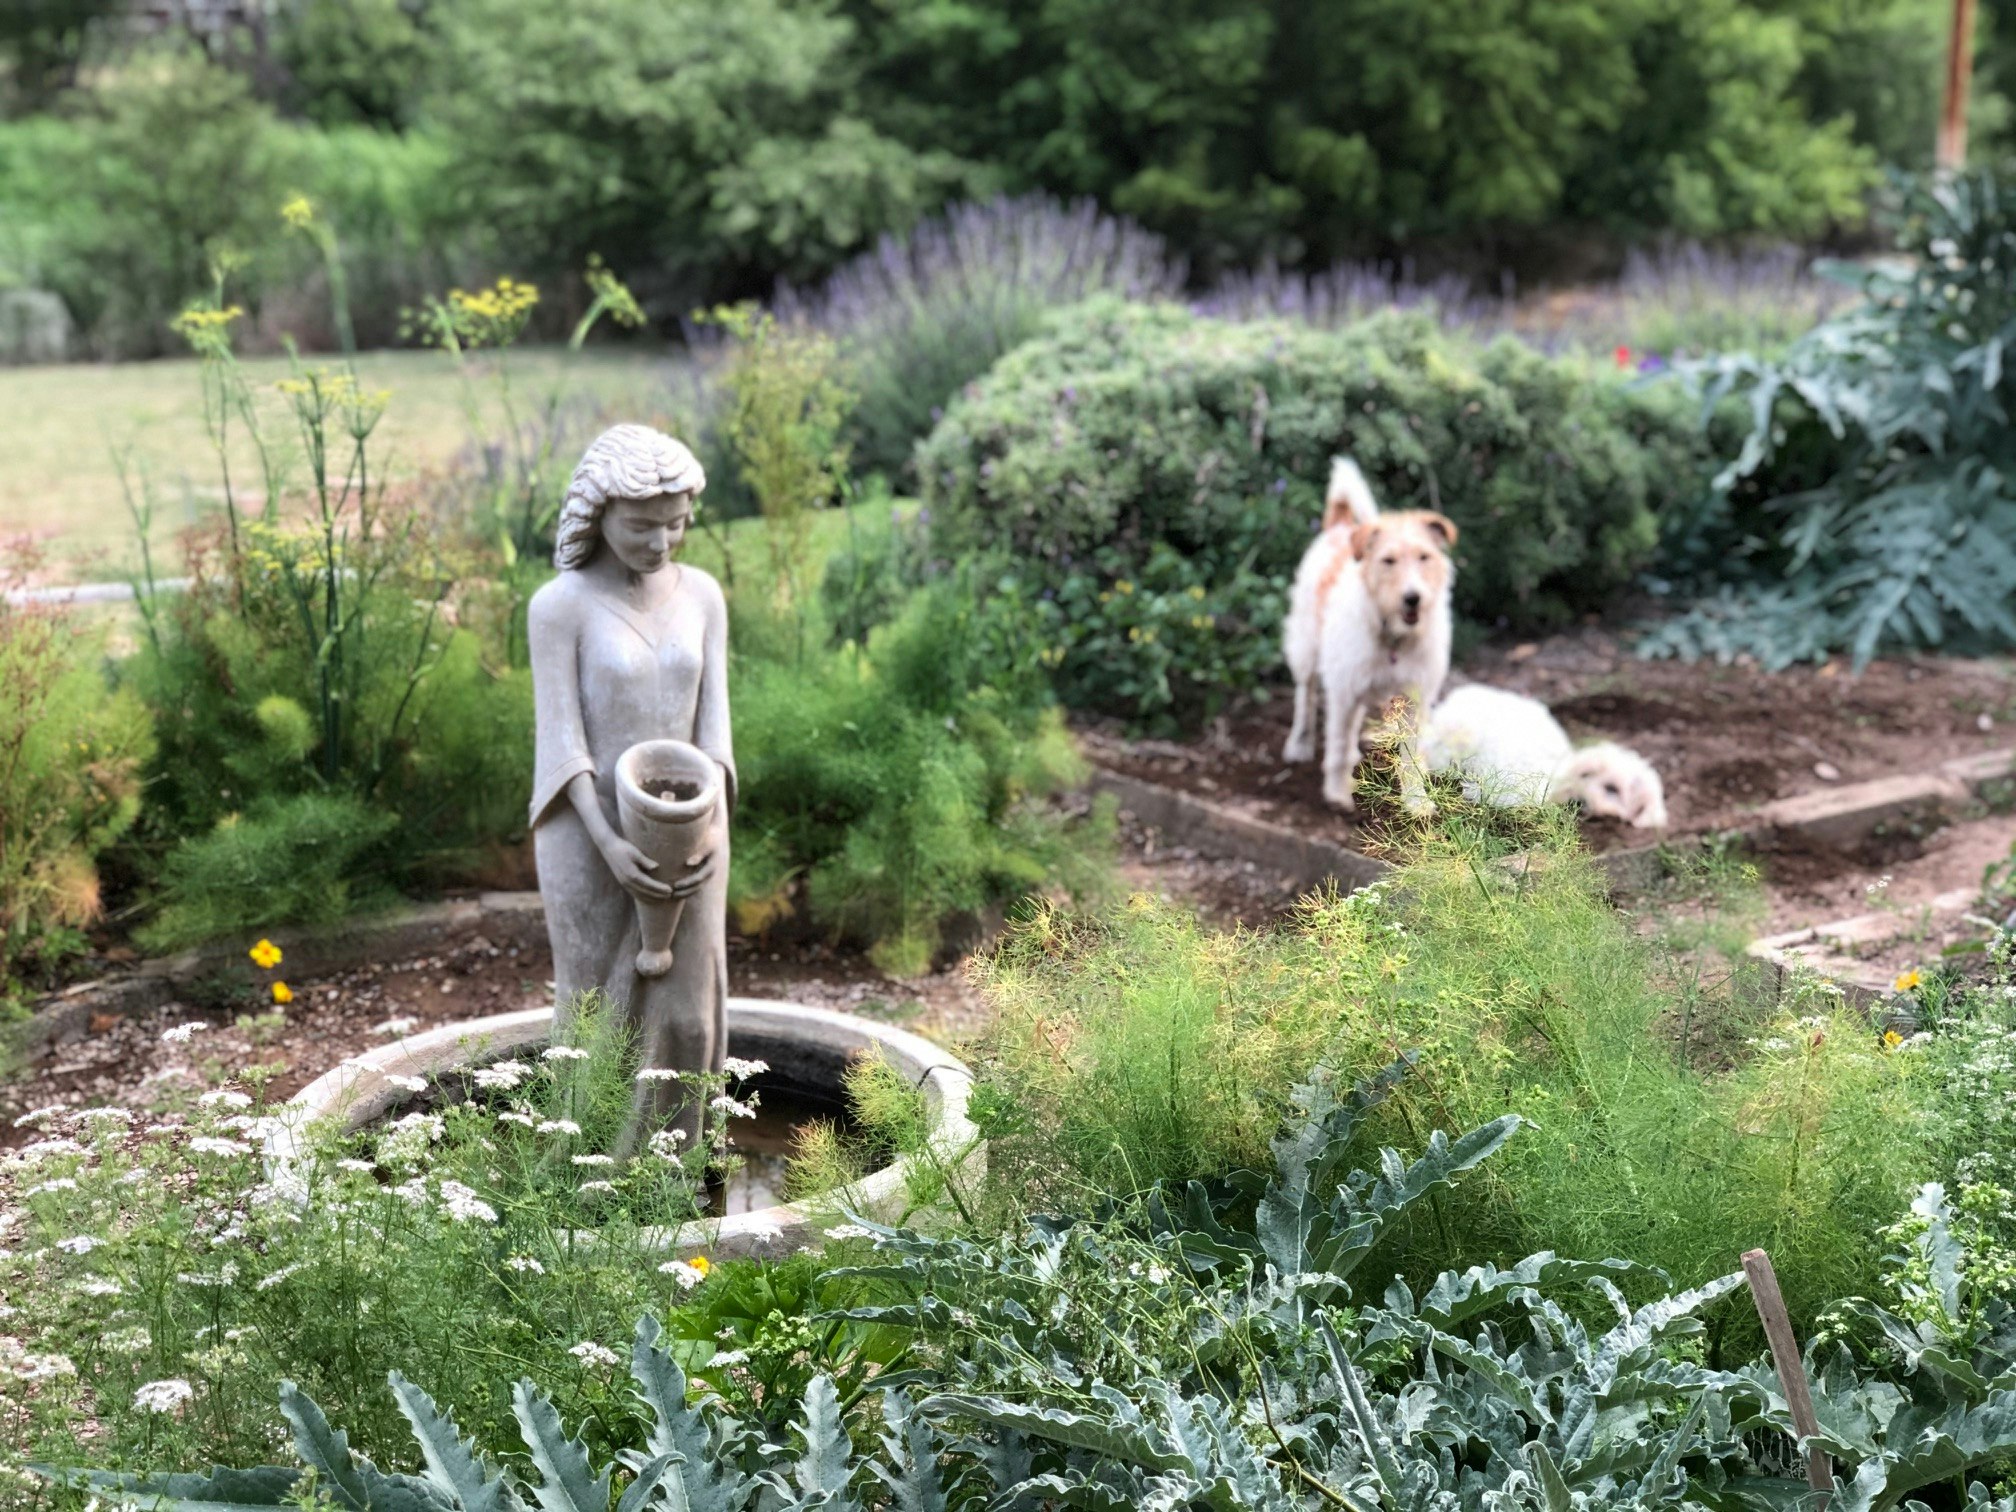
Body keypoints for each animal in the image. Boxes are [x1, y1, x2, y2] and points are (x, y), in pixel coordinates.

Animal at [1282, 457, 1456, 814]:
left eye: (1424, 557)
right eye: (1388, 560)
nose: (1413, 598)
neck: (1394, 638)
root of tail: (1339, 526)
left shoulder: (1413, 698)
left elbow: (1411, 755)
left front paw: (1417, 802)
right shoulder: (1343, 691)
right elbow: (1336, 746)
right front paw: (1337, 795)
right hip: (1307, 651)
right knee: (1305, 696)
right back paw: (1299, 744)